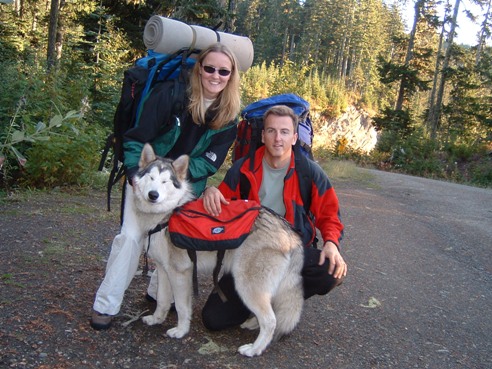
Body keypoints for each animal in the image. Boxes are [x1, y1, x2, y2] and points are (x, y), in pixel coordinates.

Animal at [135, 142, 304, 356]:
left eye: (165, 182)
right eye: (151, 178)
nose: (153, 195)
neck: (168, 214)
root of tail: (290, 232)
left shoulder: (180, 273)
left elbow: (181, 307)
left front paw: (181, 331)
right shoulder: (164, 271)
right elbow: (162, 301)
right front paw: (156, 320)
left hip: (246, 286)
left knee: (270, 320)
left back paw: (254, 349)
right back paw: (251, 324)